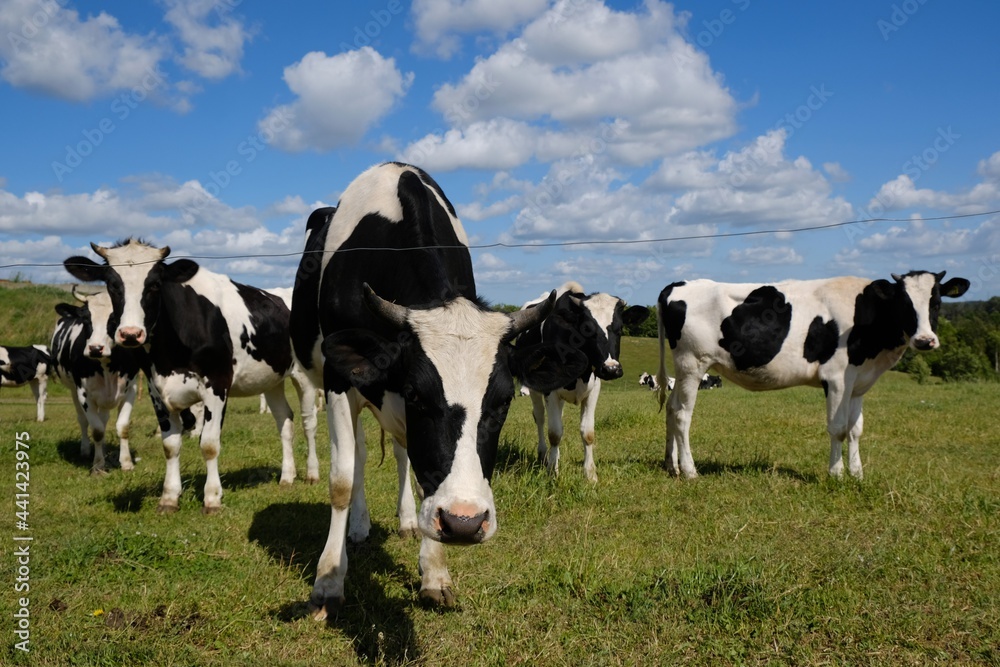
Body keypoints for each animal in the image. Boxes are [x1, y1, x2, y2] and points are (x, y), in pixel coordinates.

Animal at [50, 290, 146, 472]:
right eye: (86, 319)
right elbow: (97, 430)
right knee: (83, 420)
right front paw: (98, 465)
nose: (95, 348)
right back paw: (86, 450)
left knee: (104, 418)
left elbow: (122, 427)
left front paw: (127, 462)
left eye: (114, 318)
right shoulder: (84, 394)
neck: (107, 365)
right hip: (73, 390)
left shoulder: (130, 390)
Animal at [62, 243, 318, 516]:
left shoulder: (217, 384)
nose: (130, 334)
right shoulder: (156, 389)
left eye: (155, 284)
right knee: (285, 421)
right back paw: (287, 477)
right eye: (112, 283)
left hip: (304, 376)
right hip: (272, 380)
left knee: (308, 421)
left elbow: (209, 444)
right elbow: (170, 445)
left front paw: (212, 499)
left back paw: (312, 474)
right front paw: (169, 497)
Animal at [290, 163, 584, 616]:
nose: (464, 522)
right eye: (416, 394)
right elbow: (340, 480)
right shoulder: (341, 381)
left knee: (399, 455)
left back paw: (408, 521)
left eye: (503, 401)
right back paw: (358, 527)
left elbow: (422, 472)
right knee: (358, 457)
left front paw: (434, 573)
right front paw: (327, 581)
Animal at [516, 280, 648, 480]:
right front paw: (552, 472)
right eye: (588, 330)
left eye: (620, 329)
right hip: (534, 389)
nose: (611, 369)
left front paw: (590, 474)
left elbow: (588, 433)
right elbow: (554, 433)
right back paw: (543, 454)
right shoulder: (550, 391)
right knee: (540, 417)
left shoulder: (593, 390)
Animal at [656, 272, 968, 480]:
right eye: (903, 302)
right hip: (692, 363)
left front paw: (857, 474)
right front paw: (836, 474)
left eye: (936, 302)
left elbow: (855, 429)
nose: (925, 340)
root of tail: (677, 284)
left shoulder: (858, 382)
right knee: (683, 415)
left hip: (683, 370)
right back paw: (690, 471)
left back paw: (671, 466)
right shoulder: (837, 377)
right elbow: (838, 428)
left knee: (671, 408)